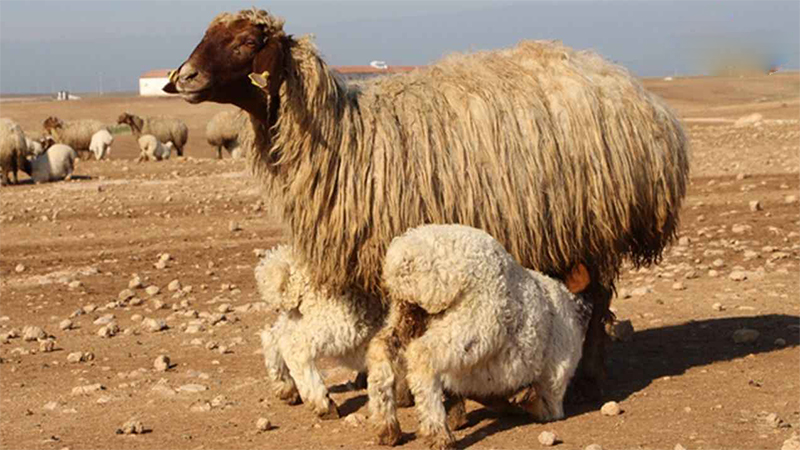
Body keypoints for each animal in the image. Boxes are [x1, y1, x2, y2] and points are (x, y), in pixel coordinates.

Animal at [255, 246, 382, 418]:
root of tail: (296, 275)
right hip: (337, 318)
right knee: (296, 348)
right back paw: (322, 403)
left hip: (297, 315)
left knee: (273, 336)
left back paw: (285, 386)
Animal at [370, 223, 592, 448]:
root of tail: (408, 255)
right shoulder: (554, 384)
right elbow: (543, 408)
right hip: (472, 325)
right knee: (422, 355)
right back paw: (438, 434)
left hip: (407, 312)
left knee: (380, 348)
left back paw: (387, 428)